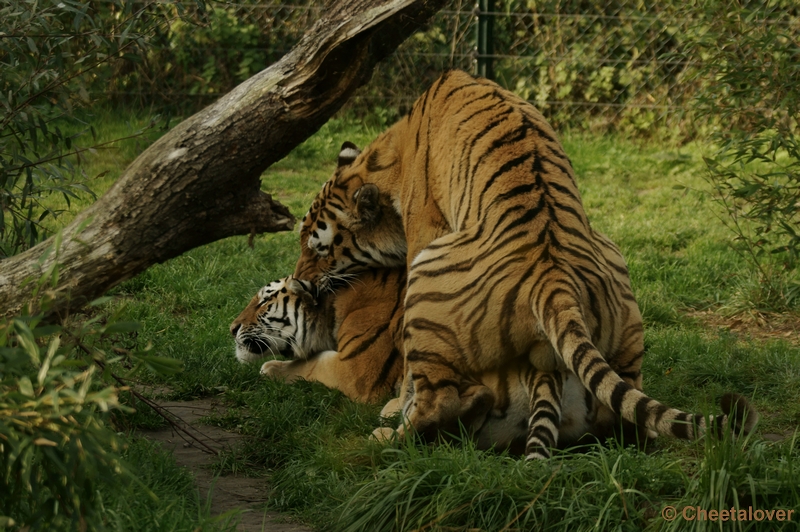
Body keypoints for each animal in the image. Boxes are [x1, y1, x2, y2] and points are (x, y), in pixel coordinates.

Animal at [233, 266, 636, 454]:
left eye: (264, 302)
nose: (232, 326)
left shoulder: (354, 368)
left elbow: (312, 363)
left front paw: (272, 368)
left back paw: (384, 430)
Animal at [292, 69, 756, 462]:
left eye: (320, 249)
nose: (298, 282)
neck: (392, 153)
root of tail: (553, 282)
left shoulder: (423, 233)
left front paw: (392, 405)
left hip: (428, 268)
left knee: (436, 399)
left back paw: (387, 435)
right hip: (618, 285)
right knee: (632, 416)